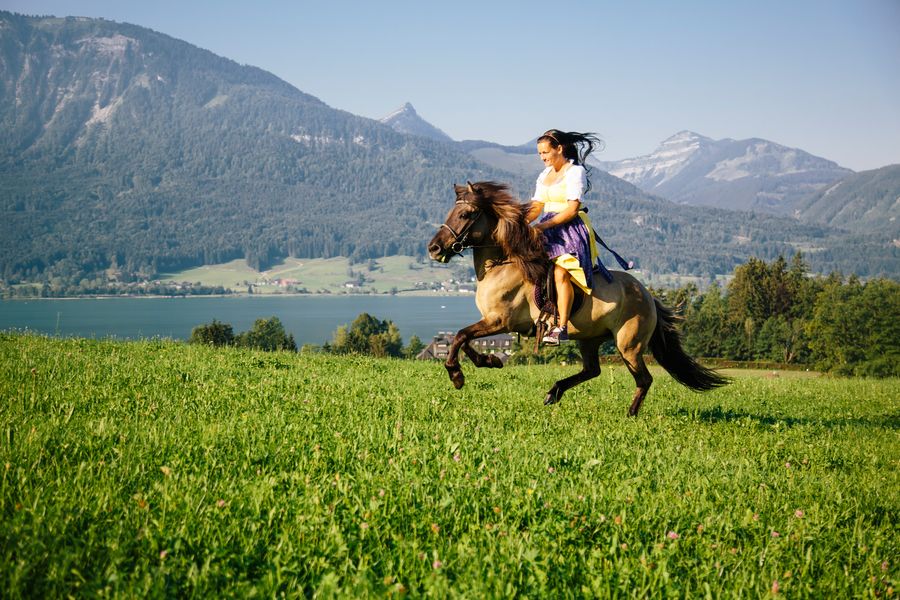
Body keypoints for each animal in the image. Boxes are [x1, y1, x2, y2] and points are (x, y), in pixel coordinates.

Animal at [427, 181, 729, 416]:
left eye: (466, 214)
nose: (434, 248)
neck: (503, 265)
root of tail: (647, 295)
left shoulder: (501, 321)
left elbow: (460, 336)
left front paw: (457, 375)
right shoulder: (491, 321)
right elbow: (464, 339)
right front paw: (489, 361)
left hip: (628, 345)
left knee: (643, 379)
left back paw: (629, 414)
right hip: (589, 339)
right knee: (592, 370)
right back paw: (554, 391)